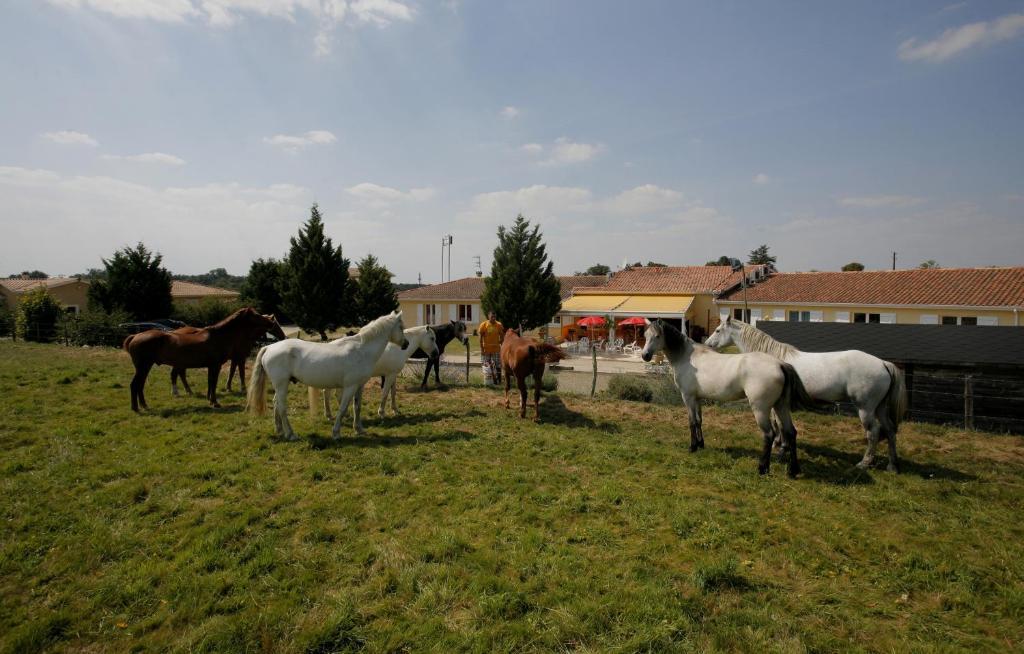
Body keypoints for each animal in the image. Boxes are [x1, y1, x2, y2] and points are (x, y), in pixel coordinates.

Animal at [123, 307, 284, 409]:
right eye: (256, 315)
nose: (271, 323)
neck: (220, 336)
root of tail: (134, 336)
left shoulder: (213, 365)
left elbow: (211, 383)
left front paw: (211, 400)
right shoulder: (217, 365)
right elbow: (214, 383)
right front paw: (215, 402)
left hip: (148, 367)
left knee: (141, 385)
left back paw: (143, 405)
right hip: (144, 367)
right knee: (135, 384)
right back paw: (137, 407)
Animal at [246, 311, 407, 440]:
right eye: (401, 327)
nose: (406, 344)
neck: (361, 350)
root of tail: (269, 347)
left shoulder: (359, 386)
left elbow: (357, 407)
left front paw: (359, 429)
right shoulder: (350, 386)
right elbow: (342, 409)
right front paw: (336, 433)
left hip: (281, 385)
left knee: (275, 404)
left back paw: (280, 430)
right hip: (281, 384)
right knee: (281, 407)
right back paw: (291, 434)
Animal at [311, 325, 440, 425]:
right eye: (432, 338)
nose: (436, 354)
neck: (398, 348)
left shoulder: (393, 375)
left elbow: (393, 393)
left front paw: (395, 410)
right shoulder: (389, 376)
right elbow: (385, 393)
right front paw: (381, 413)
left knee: (331, 394)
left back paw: (338, 415)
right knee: (329, 394)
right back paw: (331, 415)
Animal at [638, 319, 815, 478]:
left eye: (657, 336)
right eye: (646, 335)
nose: (645, 356)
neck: (687, 357)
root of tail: (779, 364)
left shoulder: (687, 397)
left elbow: (692, 422)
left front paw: (693, 447)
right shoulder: (697, 399)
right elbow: (699, 421)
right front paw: (701, 444)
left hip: (761, 409)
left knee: (769, 434)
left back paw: (762, 468)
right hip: (781, 406)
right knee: (791, 432)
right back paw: (793, 470)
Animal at [704, 315, 905, 470]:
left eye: (718, 330)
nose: (707, 344)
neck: (772, 358)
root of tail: (883, 363)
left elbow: (779, 425)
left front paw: (781, 448)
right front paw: (780, 445)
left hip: (866, 409)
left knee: (873, 433)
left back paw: (864, 463)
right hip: (880, 408)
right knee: (889, 430)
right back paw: (892, 465)